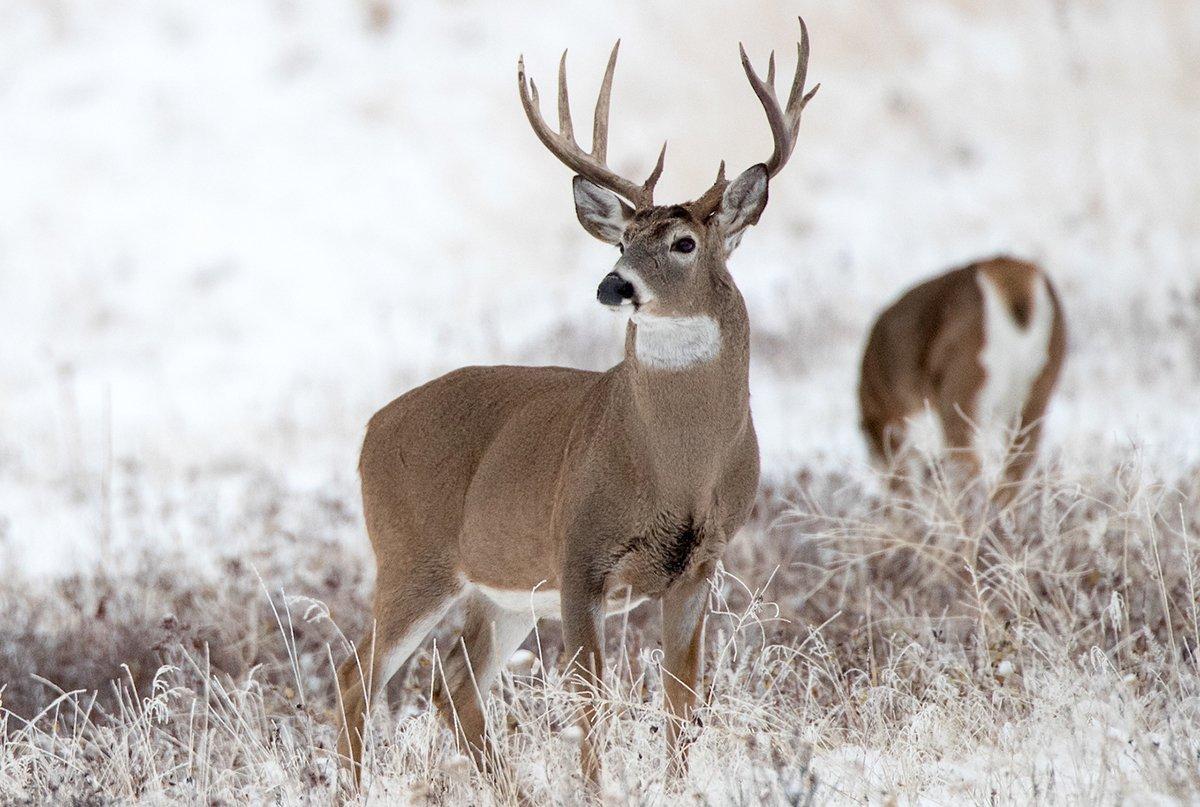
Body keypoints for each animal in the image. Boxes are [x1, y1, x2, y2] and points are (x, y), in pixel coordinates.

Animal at [333, 18, 820, 792]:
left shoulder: (701, 564)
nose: (613, 284)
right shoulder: (578, 555)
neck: (676, 467)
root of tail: (370, 431)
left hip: (500, 589)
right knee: (360, 676)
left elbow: (682, 698)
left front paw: (677, 786)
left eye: (683, 242)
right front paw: (598, 787)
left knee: (452, 683)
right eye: (622, 238)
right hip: (412, 556)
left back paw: (507, 790)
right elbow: (594, 699)